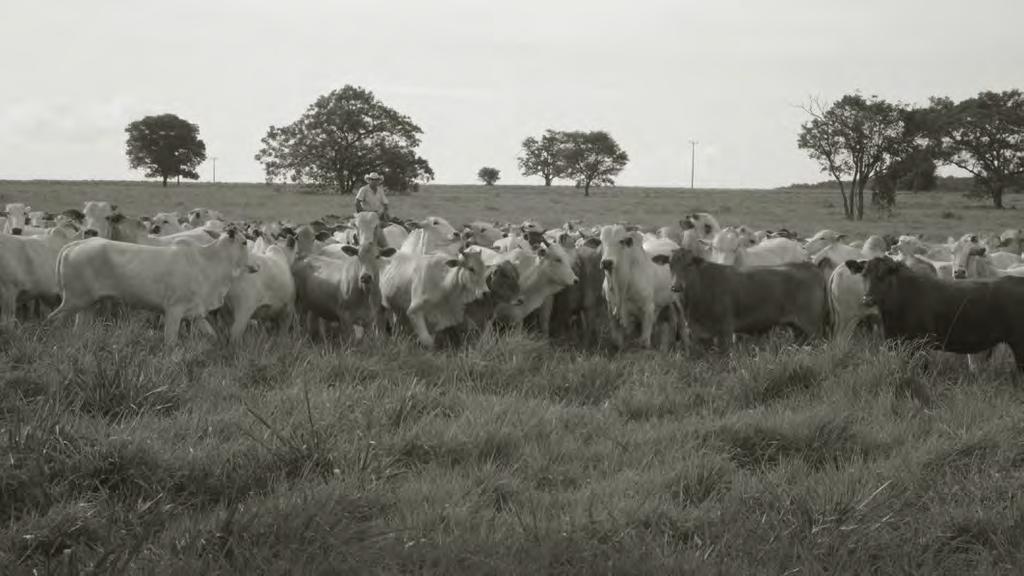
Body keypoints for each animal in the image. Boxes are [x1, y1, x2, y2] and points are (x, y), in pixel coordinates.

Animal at [48, 226, 252, 340]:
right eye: (244, 242)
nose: (254, 265)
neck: (207, 263)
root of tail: (75, 245)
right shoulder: (173, 310)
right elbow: (170, 342)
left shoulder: (195, 313)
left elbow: (212, 335)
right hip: (74, 301)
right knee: (52, 319)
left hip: (88, 305)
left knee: (78, 328)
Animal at [655, 249, 823, 352]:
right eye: (670, 264)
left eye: (689, 264)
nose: (676, 286)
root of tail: (809, 266)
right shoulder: (699, 335)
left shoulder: (725, 331)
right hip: (797, 328)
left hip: (812, 326)